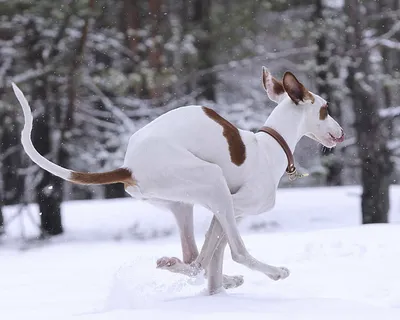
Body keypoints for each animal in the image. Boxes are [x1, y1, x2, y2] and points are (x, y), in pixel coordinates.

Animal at [12, 67, 344, 296]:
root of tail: (129, 166)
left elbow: (211, 256)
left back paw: (198, 271)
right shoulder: (231, 204)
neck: (270, 145)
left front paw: (216, 286)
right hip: (212, 181)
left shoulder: (229, 211)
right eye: (325, 108)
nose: (341, 133)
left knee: (192, 255)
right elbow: (219, 253)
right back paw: (273, 273)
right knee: (228, 254)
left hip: (182, 203)